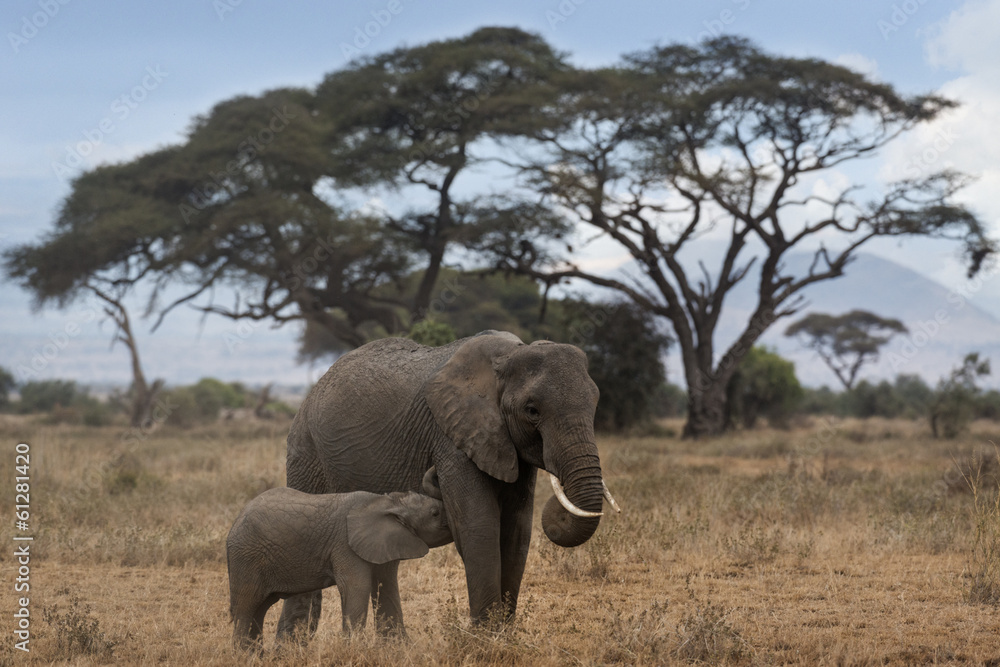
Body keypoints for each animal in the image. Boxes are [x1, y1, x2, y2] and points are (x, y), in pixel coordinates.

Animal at [229, 474, 452, 652]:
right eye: (434, 513)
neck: (389, 501)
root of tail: (235, 522)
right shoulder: (345, 545)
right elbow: (357, 587)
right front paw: (355, 650)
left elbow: (386, 585)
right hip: (246, 559)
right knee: (246, 607)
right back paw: (243, 657)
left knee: (260, 608)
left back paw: (256, 656)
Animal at [276, 332, 616, 640]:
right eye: (532, 410)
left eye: (595, 403)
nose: (431, 474)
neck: (509, 357)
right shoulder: (452, 437)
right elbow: (478, 525)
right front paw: (486, 640)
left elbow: (517, 530)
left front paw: (505, 638)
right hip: (307, 450)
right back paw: (292, 646)